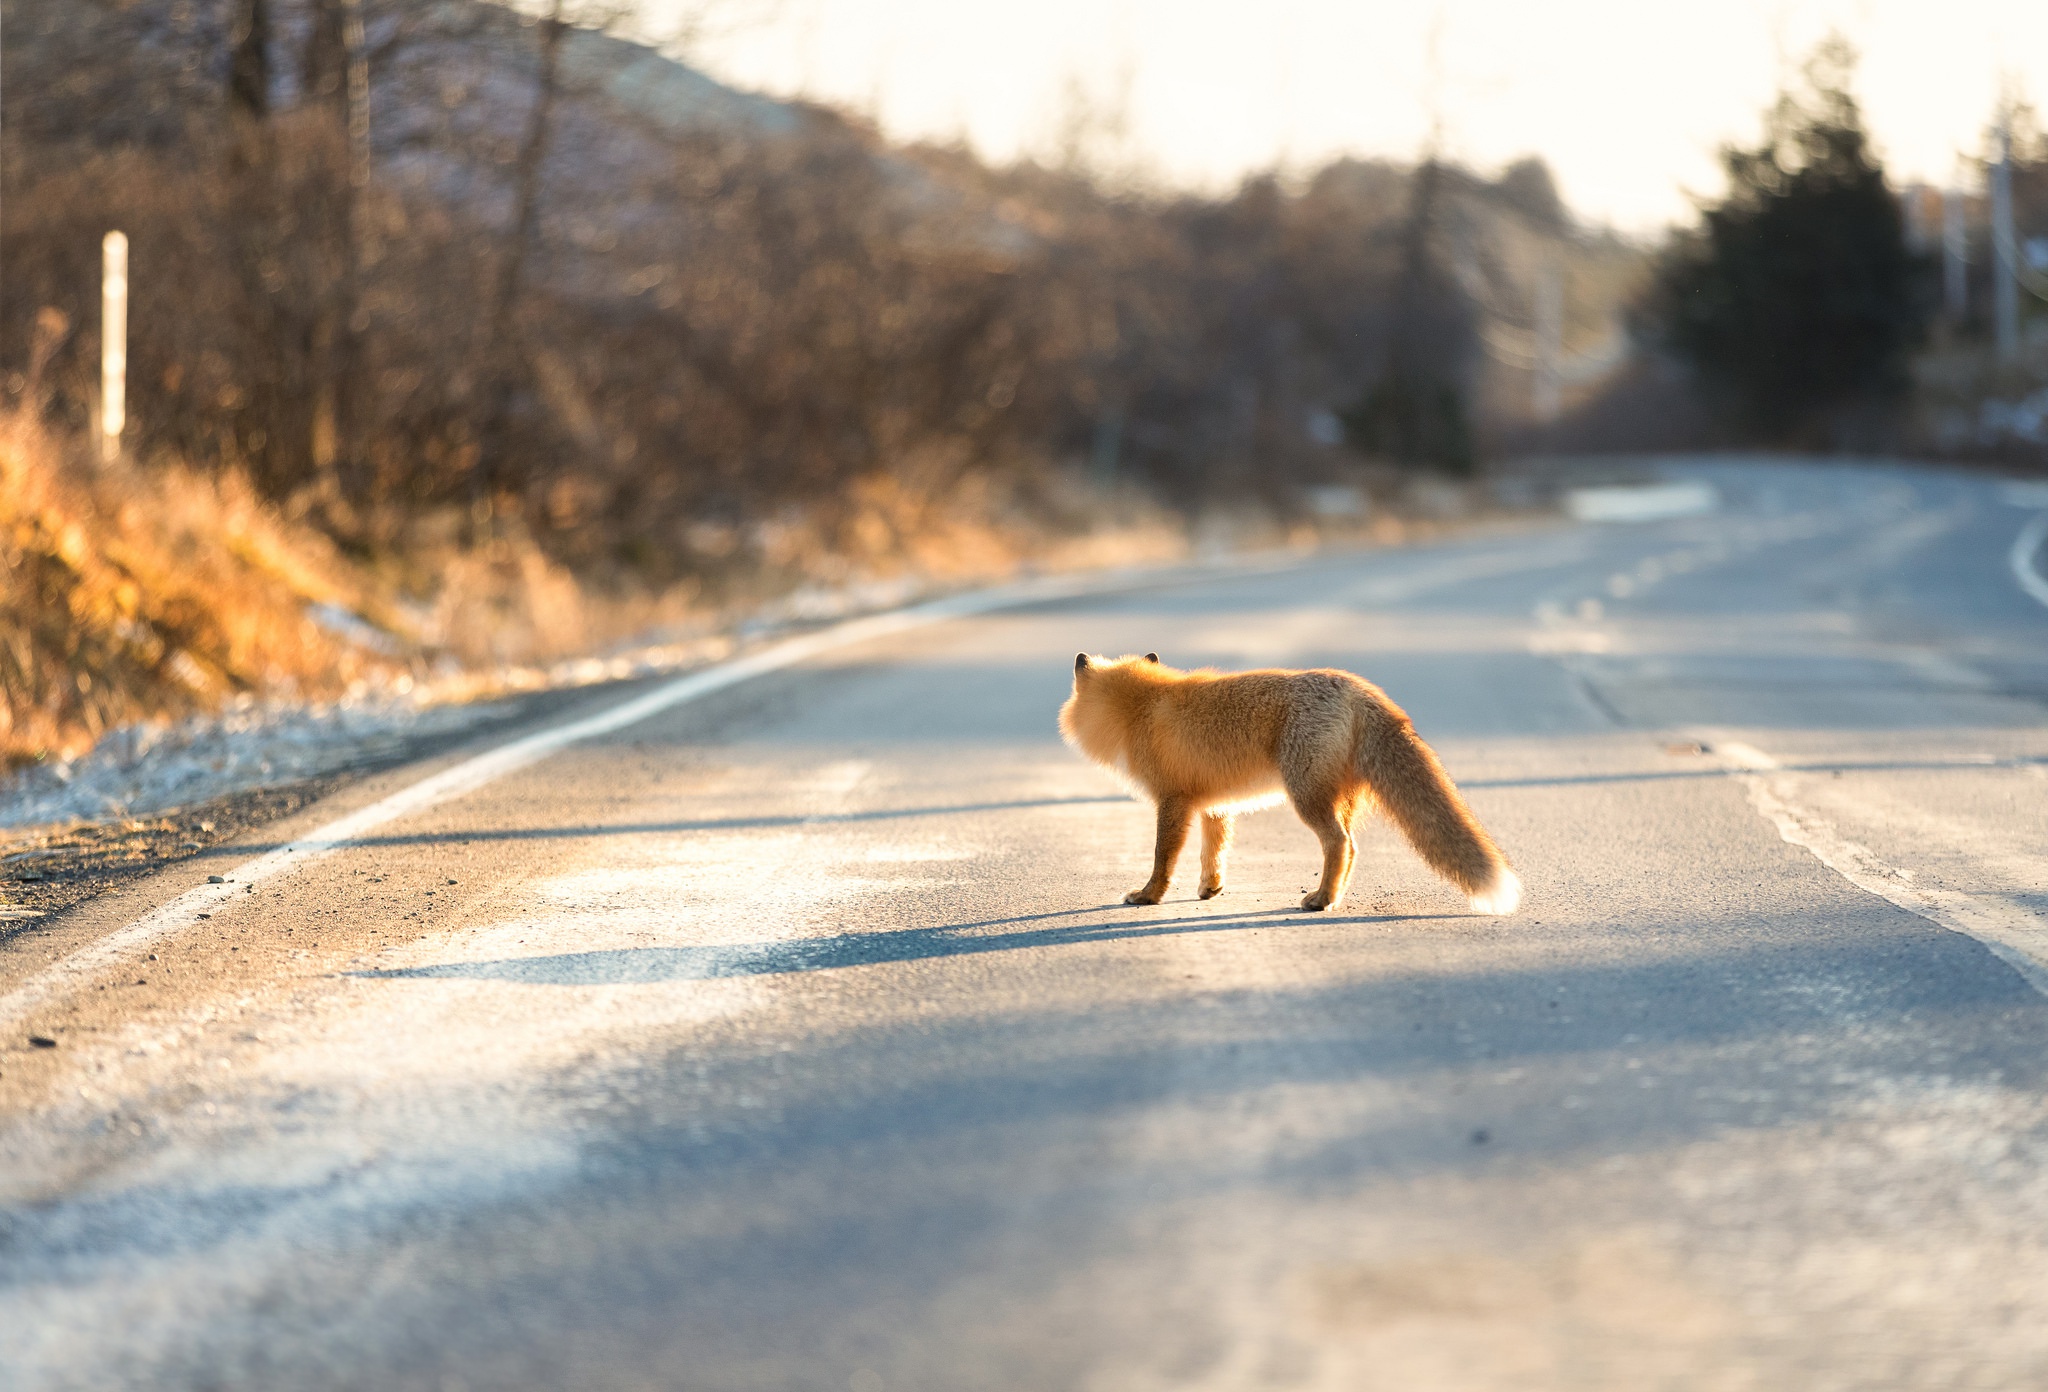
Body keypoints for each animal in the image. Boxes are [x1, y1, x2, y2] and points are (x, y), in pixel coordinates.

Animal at [1056, 650, 1523, 912]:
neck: (1144, 707)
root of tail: (1357, 688)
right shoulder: (1212, 805)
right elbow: (1213, 853)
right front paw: (1210, 889)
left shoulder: (1173, 801)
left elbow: (1162, 858)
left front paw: (1149, 896)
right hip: (1338, 798)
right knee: (1352, 848)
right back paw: (1333, 896)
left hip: (1306, 797)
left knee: (1339, 843)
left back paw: (1320, 901)